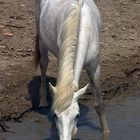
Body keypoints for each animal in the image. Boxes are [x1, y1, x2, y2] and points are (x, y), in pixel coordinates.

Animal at [34, 0, 109, 139]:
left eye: (77, 115)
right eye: (55, 115)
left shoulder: (95, 68)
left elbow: (99, 105)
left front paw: (106, 132)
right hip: (41, 37)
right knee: (43, 64)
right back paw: (42, 101)